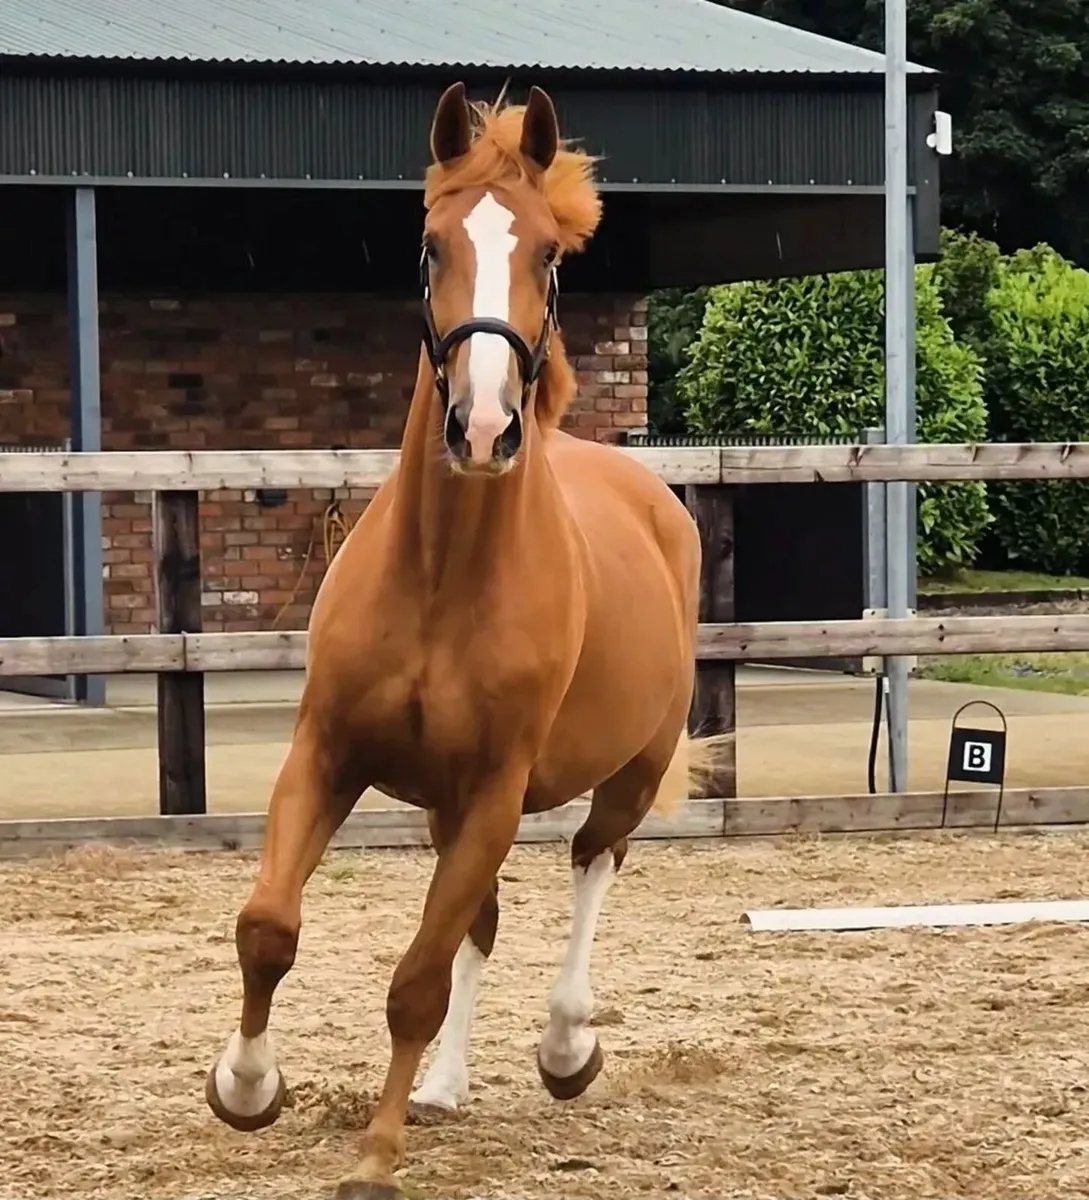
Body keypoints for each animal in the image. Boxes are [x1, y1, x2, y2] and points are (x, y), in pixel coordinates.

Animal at [205, 82, 722, 1199]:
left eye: (550, 258)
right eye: (432, 246)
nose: (483, 430)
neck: (442, 577)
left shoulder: (492, 790)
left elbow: (415, 981)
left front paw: (375, 1152)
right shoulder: (328, 754)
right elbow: (269, 929)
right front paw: (247, 1088)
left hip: (624, 770)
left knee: (592, 862)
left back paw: (566, 1051)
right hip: (447, 808)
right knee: (478, 920)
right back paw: (443, 1087)